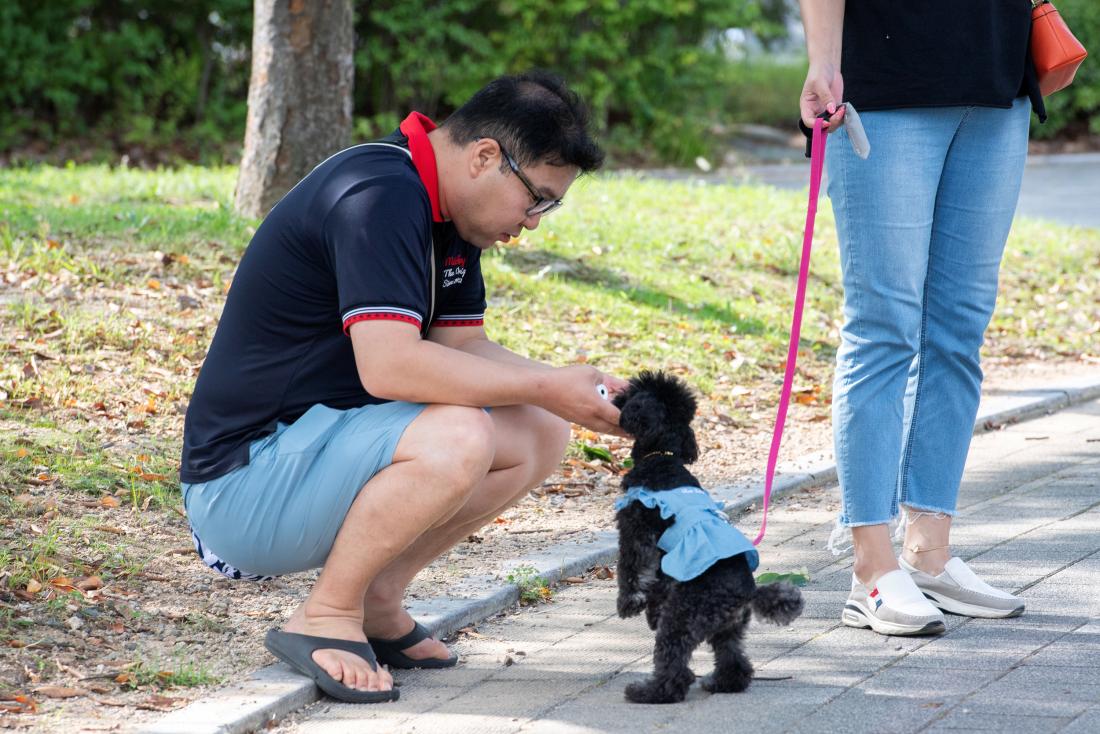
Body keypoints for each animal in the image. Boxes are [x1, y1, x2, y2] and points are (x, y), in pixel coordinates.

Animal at [616, 374, 805, 704]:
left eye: (634, 395)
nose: (616, 398)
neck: (663, 460)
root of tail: (748, 592)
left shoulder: (635, 529)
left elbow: (630, 569)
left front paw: (628, 604)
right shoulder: (667, 558)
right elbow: (658, 583)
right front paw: (649, 611)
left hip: (685, 615)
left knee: (674, 663)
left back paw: (648, 691)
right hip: (728, 625)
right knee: (735, 660)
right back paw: (721, 683)